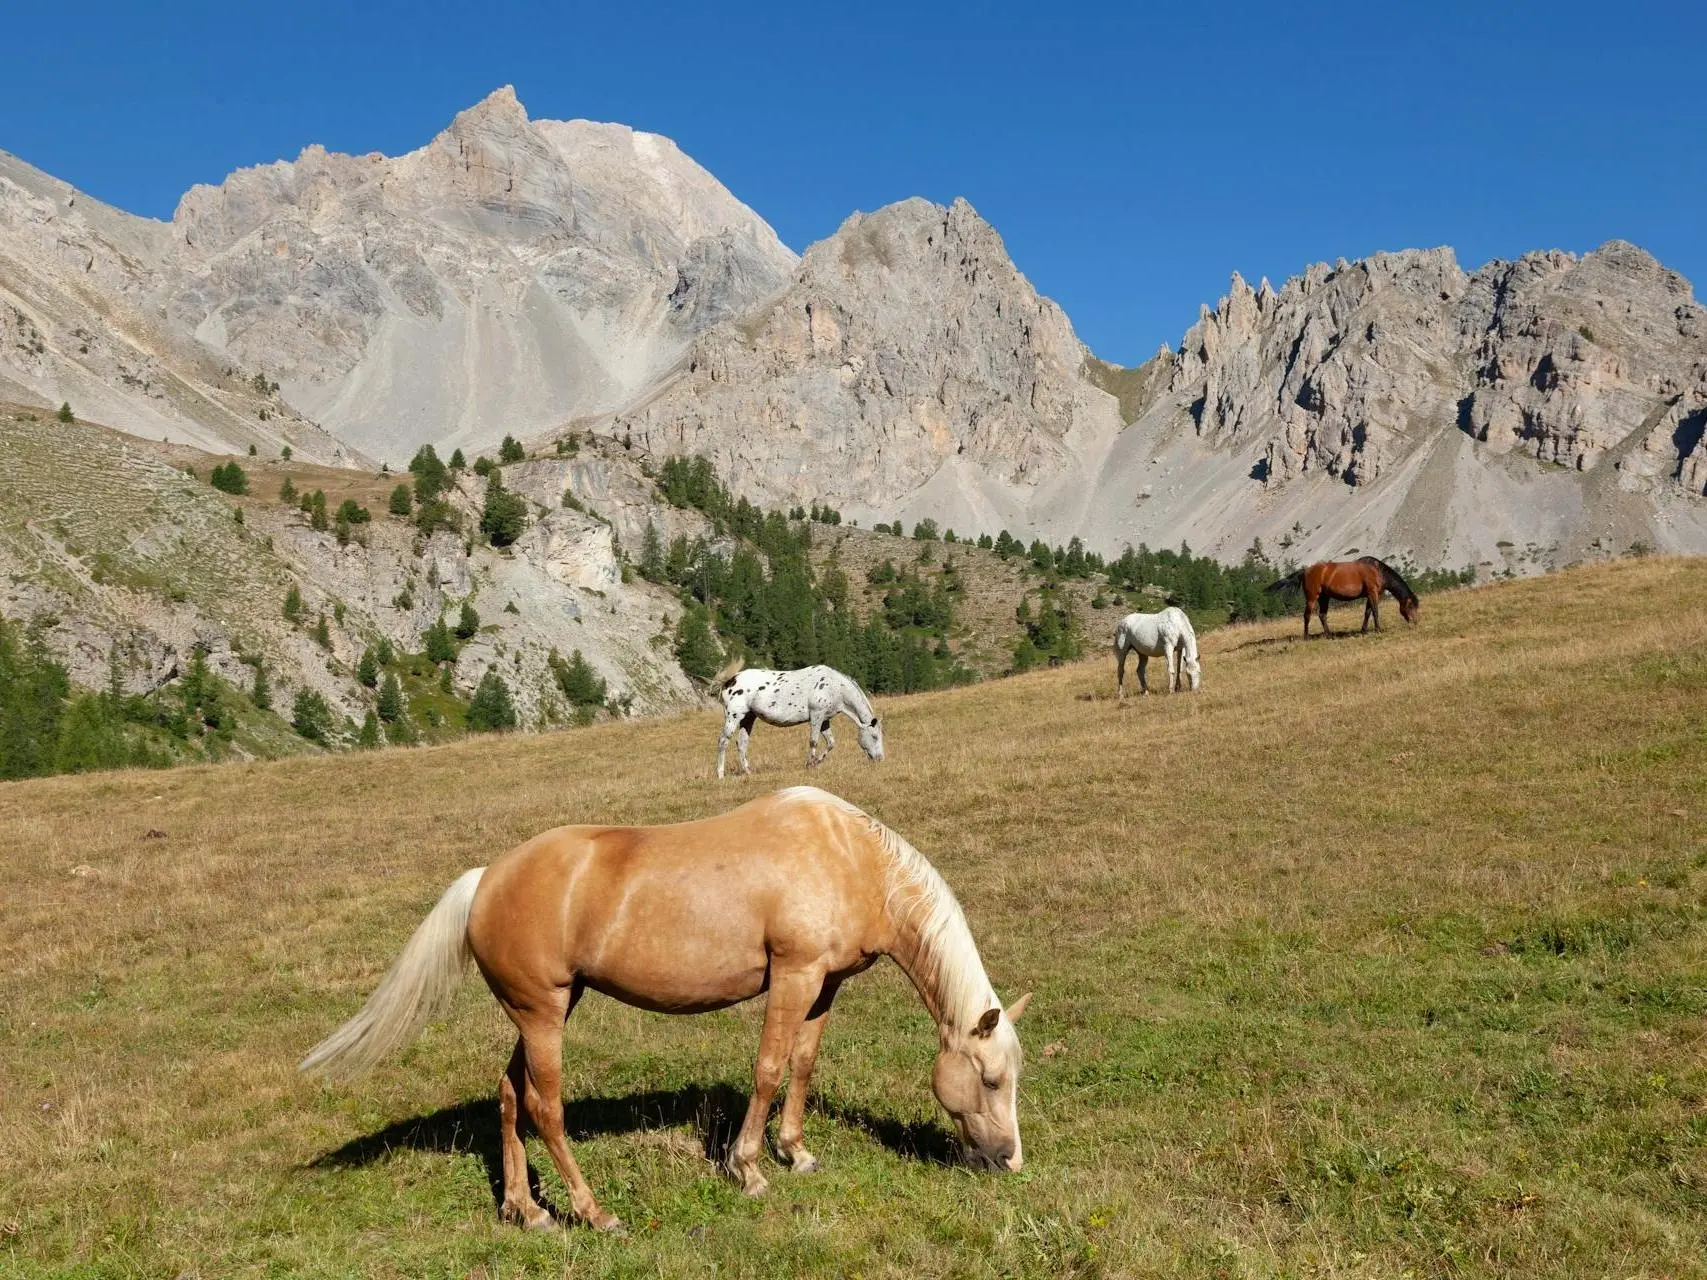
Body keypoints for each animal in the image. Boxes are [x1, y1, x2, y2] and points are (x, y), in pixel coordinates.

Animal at [300, 788, 1031, 1235]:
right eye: (991, 1079)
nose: (1008, 1161)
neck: (848, 857)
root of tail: (486, 878)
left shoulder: (824, 985)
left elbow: (801, 1064)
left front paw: (795, 1153)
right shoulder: (793, 975)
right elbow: (768, 1069)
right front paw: (748, 1168)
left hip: (542, 1012)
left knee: (508, 1096)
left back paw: (525, 1210)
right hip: (542, 1016)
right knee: (544, 1107)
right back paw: (593, 1213)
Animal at [713, 662, 887, 781]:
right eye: (874, 737)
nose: (879, 759)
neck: (834, 687)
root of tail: (730, 681)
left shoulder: (824, 720)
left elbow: (831, 743)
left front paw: (816, 762)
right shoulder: (816, 716)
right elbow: (813, 741)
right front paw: (810, 764)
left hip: (748, 718)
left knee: (742, 743)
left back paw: (748, 772)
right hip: (734, 716)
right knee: (723, 741)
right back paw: (720, 774)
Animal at [1276, 559, 1420, 641]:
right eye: (1410, 606)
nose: (1415, 622)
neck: (1377, 570)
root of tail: (1305, 571)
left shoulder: (1370, 595)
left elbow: (1367, 612)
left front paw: (1363, 630)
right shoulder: (1373, 593)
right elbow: (1375, 612)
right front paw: (1378, 629)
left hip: (1324, 598)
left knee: (1322, 615)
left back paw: (1330, 635)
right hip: (1312, 598)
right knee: (1307, 616)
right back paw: (1306, 637)